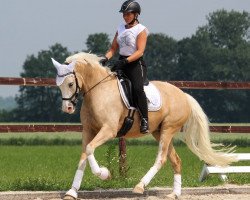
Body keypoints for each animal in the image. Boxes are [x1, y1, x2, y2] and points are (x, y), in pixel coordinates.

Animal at [52, 52, 236, 200]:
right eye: (59, 85)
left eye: (70, 84)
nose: (67, 108)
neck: (98, 91)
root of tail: (183, 95)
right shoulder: (88, 130)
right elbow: (84, 154)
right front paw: (72, 192)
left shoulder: (108, 130)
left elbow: (90, 149)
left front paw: (105, 174)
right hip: (159, 131)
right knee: (176, 160)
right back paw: (174, 194)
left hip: (168, 129)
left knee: (161, 159)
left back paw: (140, 186)